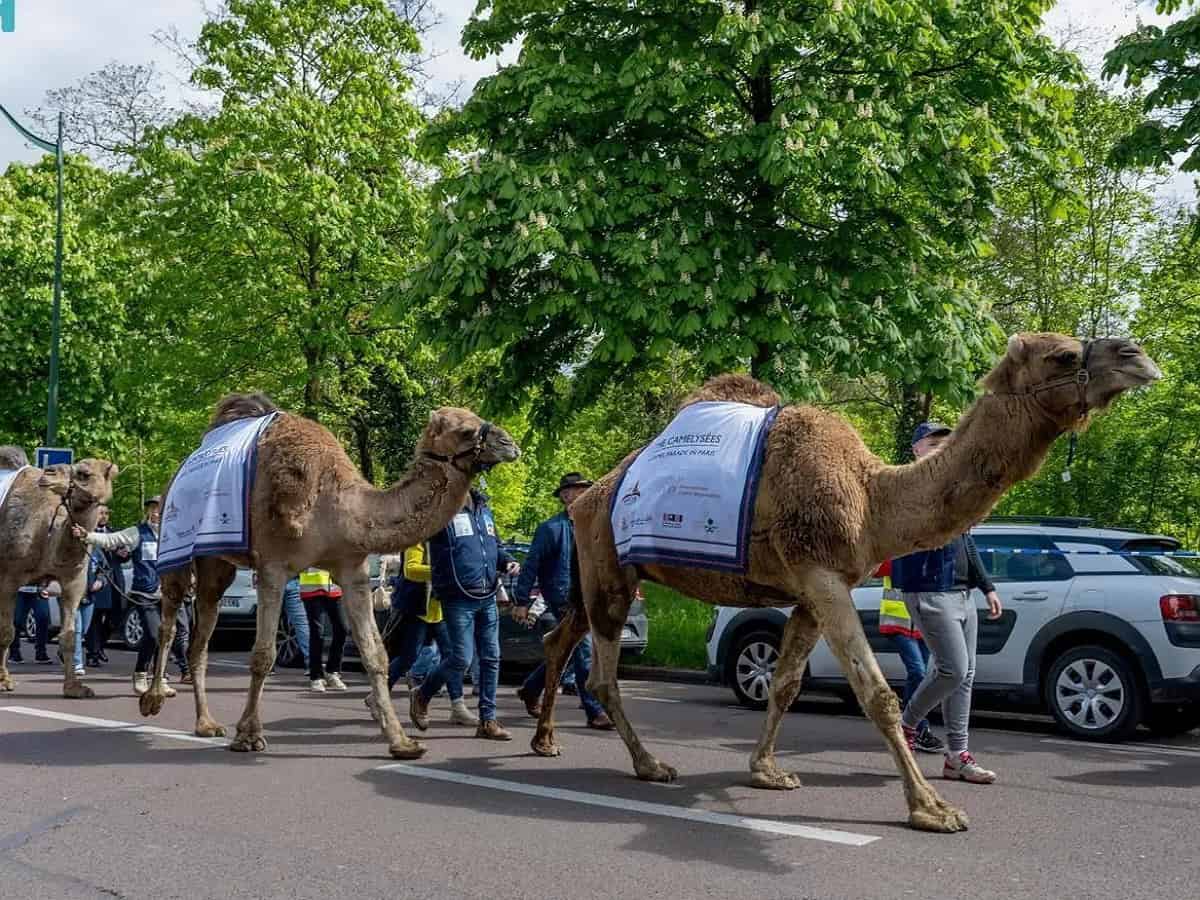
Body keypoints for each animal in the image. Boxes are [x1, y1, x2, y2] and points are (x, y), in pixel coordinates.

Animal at [0, 453, 119, 700]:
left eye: (84, 473)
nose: (49, 473)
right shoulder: (8, 578)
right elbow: (7, 631)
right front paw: (4, 681)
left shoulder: (73, 582)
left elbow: (70, 636)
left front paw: (75, 688)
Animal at [141, 393, 520, 763]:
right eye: (465, 431)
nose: (510, 444)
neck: (338, 506)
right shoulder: (273, 567)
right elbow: (263, 655)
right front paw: (248, 736)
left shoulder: (352, 570)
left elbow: (375, 654)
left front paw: (402, 742)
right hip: (177, 550)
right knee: (170, 619)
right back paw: (153, 699)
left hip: (217, 564)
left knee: (202, 630)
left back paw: (206, 723)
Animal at [530, 336, 1156, 835]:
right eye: (1063, 355)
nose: (1137, 356)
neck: (871, 496)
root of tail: (586, 498)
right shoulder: (822, 574)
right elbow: (877, 693)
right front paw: (932, 808)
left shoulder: (812, 590)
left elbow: (785, 684)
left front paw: (767, 772)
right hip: (609, 566)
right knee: (602, 672)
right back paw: (649, 764)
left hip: (598, 573)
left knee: (560, 638)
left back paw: (545, 739)